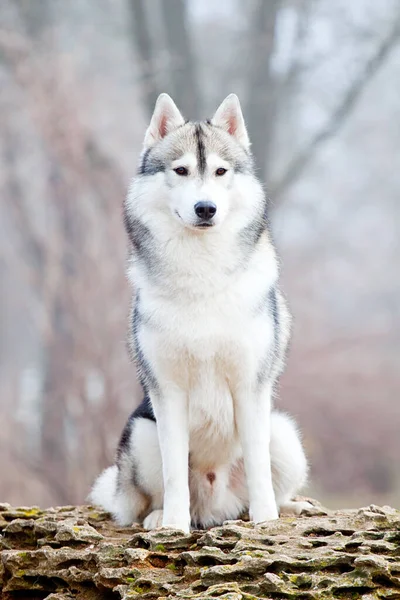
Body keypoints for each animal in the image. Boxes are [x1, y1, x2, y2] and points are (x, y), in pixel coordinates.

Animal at [90, 95, 310, 536]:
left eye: (221, 171)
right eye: (181, 170)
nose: (205, 208)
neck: (201, 273)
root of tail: (214, 509)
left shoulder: (250, 387)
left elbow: (258, 467)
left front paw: (266, 520)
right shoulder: (168, 393)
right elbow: (174, 471)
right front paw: (174, 527)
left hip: (284, 434)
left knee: (266, 482)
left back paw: (285, 508)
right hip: (141, 433)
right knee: (147, 501)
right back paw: (160, 517)